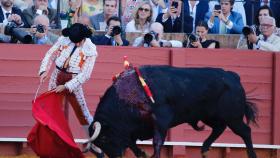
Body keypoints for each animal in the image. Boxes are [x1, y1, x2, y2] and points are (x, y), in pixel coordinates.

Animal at [86, 65, 258, 158]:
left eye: (104, 139)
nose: (116, 156)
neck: (129, 95)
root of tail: (233, 76)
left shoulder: (161, 120)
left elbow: (157, 142)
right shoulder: (132, 129)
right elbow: (132, 143)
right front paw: (143, 154)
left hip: (233, 118)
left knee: (245, 131)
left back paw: (251, 155)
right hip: (211, 116)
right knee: (219, 129)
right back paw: (204, 150)